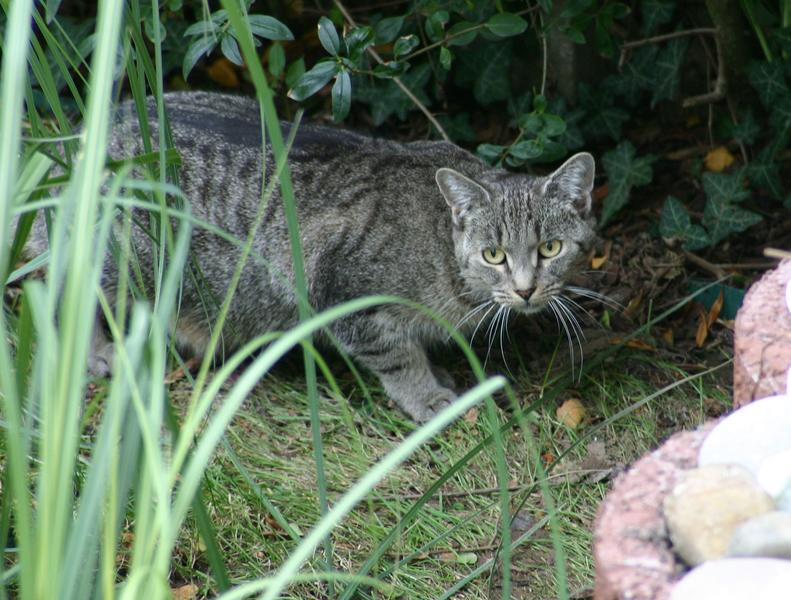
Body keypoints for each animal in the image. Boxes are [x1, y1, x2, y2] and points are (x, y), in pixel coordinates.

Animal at [32, 92, 600, 422]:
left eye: (550, 248)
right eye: (494, 254)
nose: (526, 288)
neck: (440, 247)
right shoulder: (339, 289)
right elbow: (398, 356)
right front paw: (428, 398)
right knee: (59, 292)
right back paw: (92, 352)